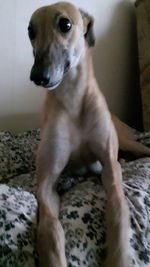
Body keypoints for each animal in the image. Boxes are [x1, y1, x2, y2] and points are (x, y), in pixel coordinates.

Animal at [28, 2, 150, 267]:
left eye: (65, 24)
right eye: (30, 31)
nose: (38, 76)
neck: (73, 101)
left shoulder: (110, 165)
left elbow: (119, 208)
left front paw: (119, 256)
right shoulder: (46, 184)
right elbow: (51, 228)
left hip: (130, 143)